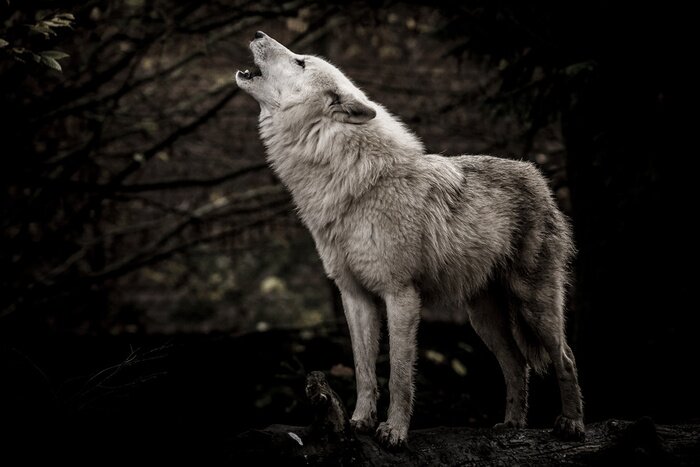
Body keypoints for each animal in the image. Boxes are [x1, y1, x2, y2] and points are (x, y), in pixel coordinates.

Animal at [235, 31, 585, 447]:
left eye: (300, 61)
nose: (258, 34)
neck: (351, 183)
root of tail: (536, 176)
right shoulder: (355, 296)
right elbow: (364, 371)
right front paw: (359, 422)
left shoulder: (400, 294)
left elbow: (400, 374)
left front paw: (395, 432)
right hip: (482, 318)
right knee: (517, 364)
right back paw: (512, 424)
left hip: (535, 305)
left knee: (566, 358)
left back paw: (572, 424)